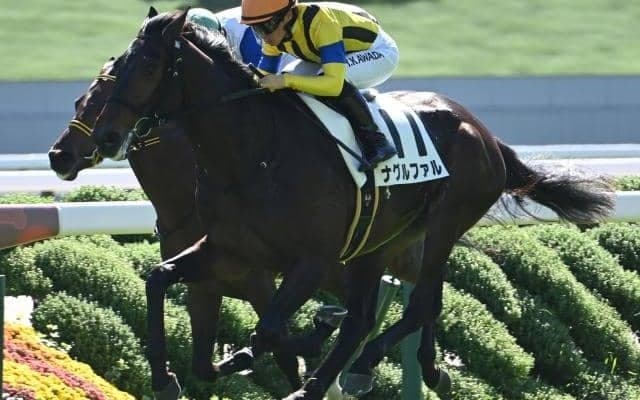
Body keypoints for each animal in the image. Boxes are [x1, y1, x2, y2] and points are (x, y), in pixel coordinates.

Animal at [48, 51, 424, 398]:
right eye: (80, 101)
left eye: (100, 103)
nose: (59, 156)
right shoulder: (204, 282)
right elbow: (205, 359)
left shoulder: (261, 280)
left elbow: (281, 346)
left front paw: (309, 343)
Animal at [92, 8, 615, 400]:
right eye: (114, 69)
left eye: (147, 66)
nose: (106, 137)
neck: (254, 152)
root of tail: (484, 133)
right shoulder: (230, 251)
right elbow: (160, 282)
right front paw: (167, 377)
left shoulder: (311, 260)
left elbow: (270, 328)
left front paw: (282, 342)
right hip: (382, 239)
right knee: (385, 310)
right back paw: (358, 374)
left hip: (445, 223)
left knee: (417, 303)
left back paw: (356, 367)